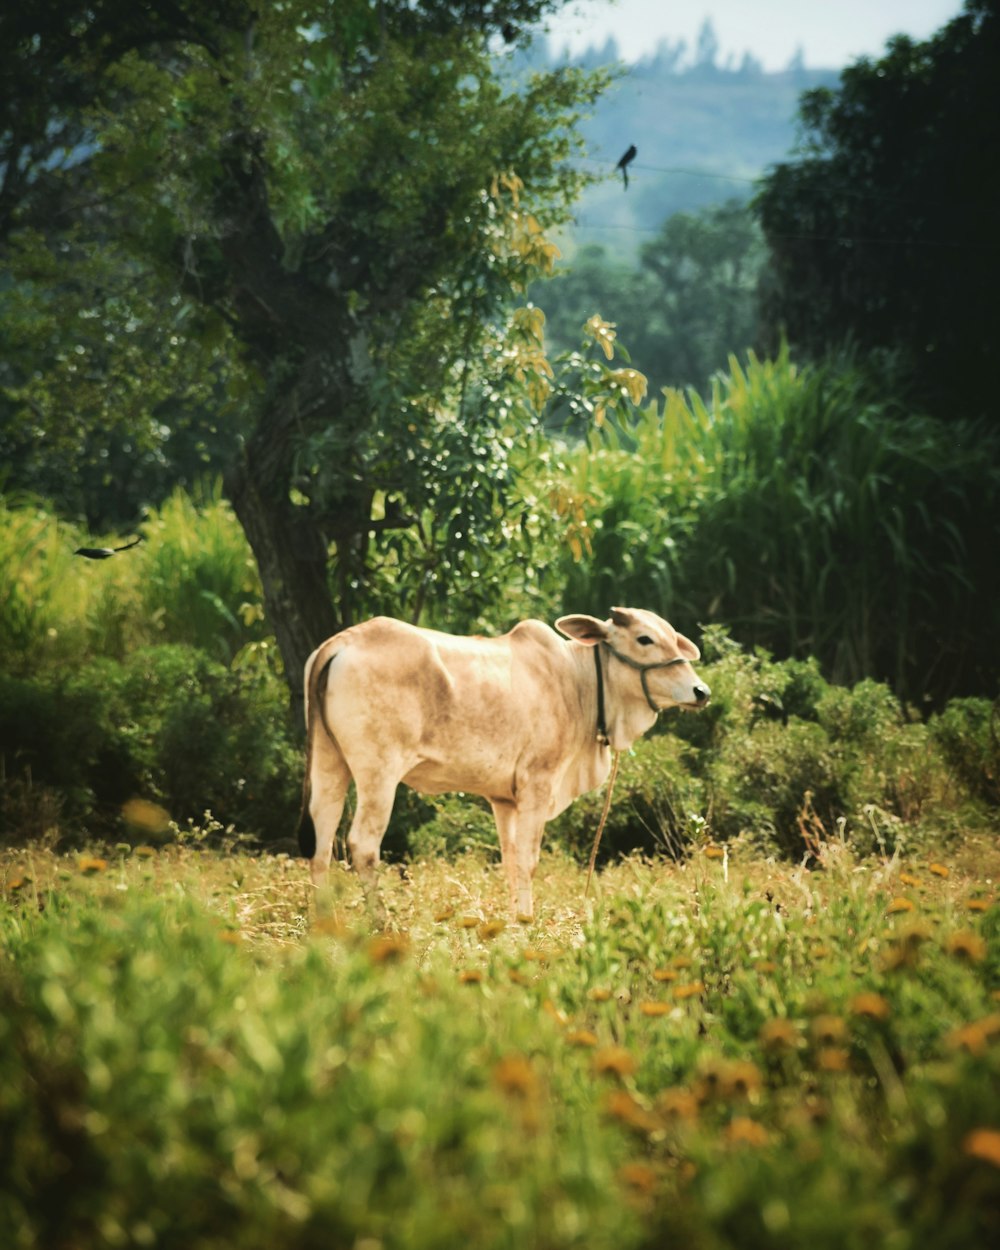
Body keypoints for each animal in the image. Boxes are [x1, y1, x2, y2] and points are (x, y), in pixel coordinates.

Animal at [297, 605, 710, 920]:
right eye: (644, 638)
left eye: (673, 637)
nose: (701, 691)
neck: (577, 683)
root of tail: (341, 642)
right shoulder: (537, 785)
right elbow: (528, 860)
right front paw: (527, 921)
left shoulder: (504, 800)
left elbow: (511, 861)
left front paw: (514, 921)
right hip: (378, 775)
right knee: (362, 846)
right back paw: (382, 924)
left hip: (330, 764)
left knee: (321, 846)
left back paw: (326, 924)